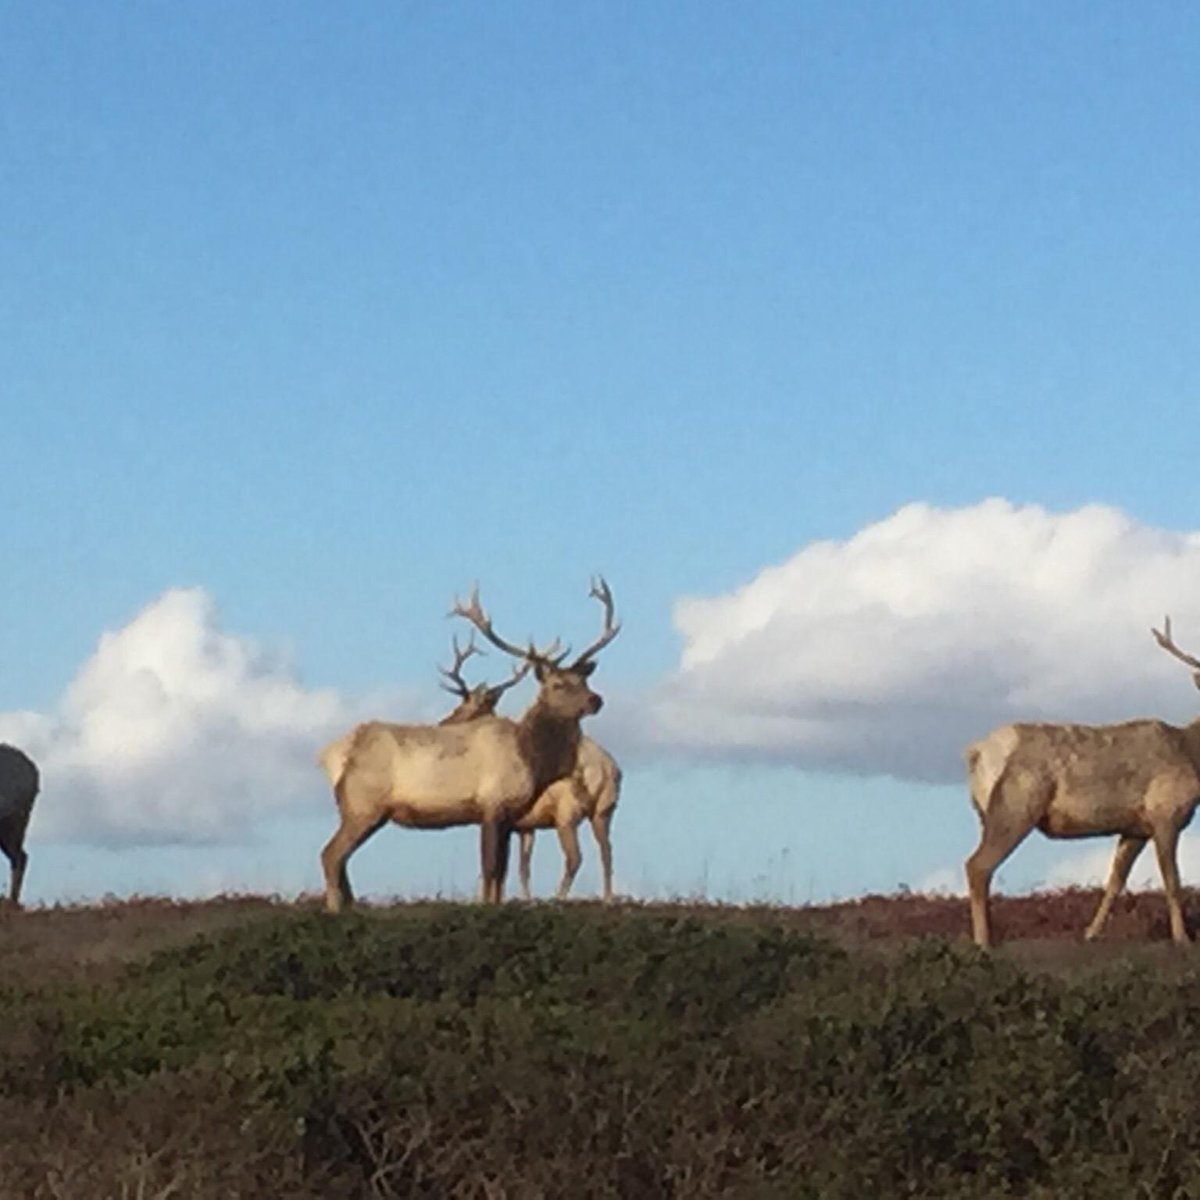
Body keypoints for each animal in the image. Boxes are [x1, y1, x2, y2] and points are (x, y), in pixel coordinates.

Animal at [319, 578, 619, 907]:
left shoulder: (511, 818)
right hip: (362, 804)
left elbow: (501, 874)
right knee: (331, 855)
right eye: (558, 685)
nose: (596, 700)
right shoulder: (492, 805)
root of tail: (334, 755)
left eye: (584, 681)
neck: (532, 759)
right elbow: (489, 869)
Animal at [960, 619, 1200, 945]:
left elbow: (1115, 881)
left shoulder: (1135, 827)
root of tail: (976, 753)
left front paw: (1090, 932)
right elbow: (1173, 881)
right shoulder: (1165, 813)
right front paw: (1182, 938)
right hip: (1015, 804)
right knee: (978, 865)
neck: (1191, 753)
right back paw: (983, 942)